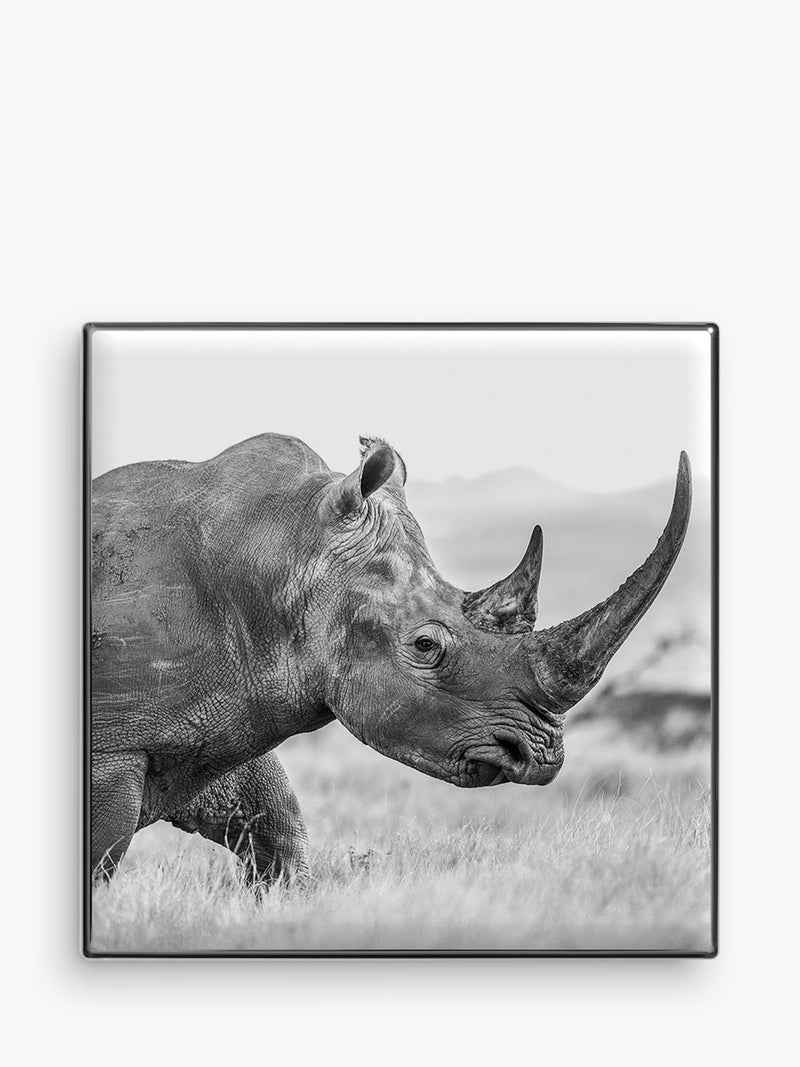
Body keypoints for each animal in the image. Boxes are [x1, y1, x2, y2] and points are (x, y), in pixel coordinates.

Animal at [90, 433, 691, 884]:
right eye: (426, 647)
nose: (541, 756)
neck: (287, 553)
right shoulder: (115, 746)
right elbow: (101, 860)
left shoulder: (222, 712)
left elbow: (280, 832)